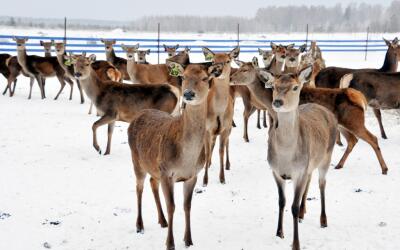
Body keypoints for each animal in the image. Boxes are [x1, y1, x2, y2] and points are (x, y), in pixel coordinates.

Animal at [128, 62, 220, 250]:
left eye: (205, 78)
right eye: (183, 77)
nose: (188, 94)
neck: (186, 159)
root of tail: (138, 114)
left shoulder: (192, 175)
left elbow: (187, 206)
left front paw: (188, 240)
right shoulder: (166, 172)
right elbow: (172, 206)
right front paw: (170, 243)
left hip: (153, 166)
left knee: (152, 182)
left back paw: (162, 221)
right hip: (137, 160)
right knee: (139, 187)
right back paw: (139, 226)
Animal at [202, 46, 239, 186]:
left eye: (228, 60)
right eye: (213, 61)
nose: (216, 69)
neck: (218, 111)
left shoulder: (225, 128)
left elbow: (221, 151)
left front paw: (222, 178)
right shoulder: (207, 128)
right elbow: (207, 152)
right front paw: (205, 180)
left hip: (229, 127)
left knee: (227, 143)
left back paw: (228, 165)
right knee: (212, 144)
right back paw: (209, 163)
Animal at [231, 58, 388, 176]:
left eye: (245, 70)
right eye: (239, 68)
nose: (231, 78)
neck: (268, 103)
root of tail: (359, 98)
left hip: (355, 121)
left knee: (372, 138)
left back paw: (384, 168)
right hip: (343, 124)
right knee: (352, 140)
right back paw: (339, 165)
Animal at [262, 66, 338, 250]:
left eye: (295, 87)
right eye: (273, 86)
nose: (278, 102)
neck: (286, 157)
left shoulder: (299, 172)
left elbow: (293, 207)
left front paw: (296, 243)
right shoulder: (275, 171)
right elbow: (281, 202)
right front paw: (279, 233)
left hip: (327, 155)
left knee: (322, 184)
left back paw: (323, 220)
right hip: (310, 164)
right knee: (310, 181)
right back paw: (304, 213)